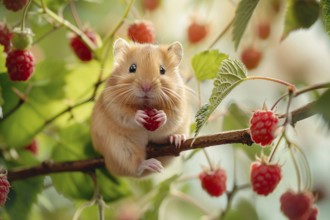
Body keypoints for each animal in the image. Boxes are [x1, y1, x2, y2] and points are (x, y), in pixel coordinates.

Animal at [91, 38, 188, 177]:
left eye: (162, 70)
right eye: (132, 68)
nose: (146, 87)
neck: (146, 104)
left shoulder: (178, 105)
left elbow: (170, 118)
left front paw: (161, 116)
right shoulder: (113, 104)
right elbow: (126, 115)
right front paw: (140, 116)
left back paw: (177, 138)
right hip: (119, 150)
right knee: (135, 168)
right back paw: (151, 164)